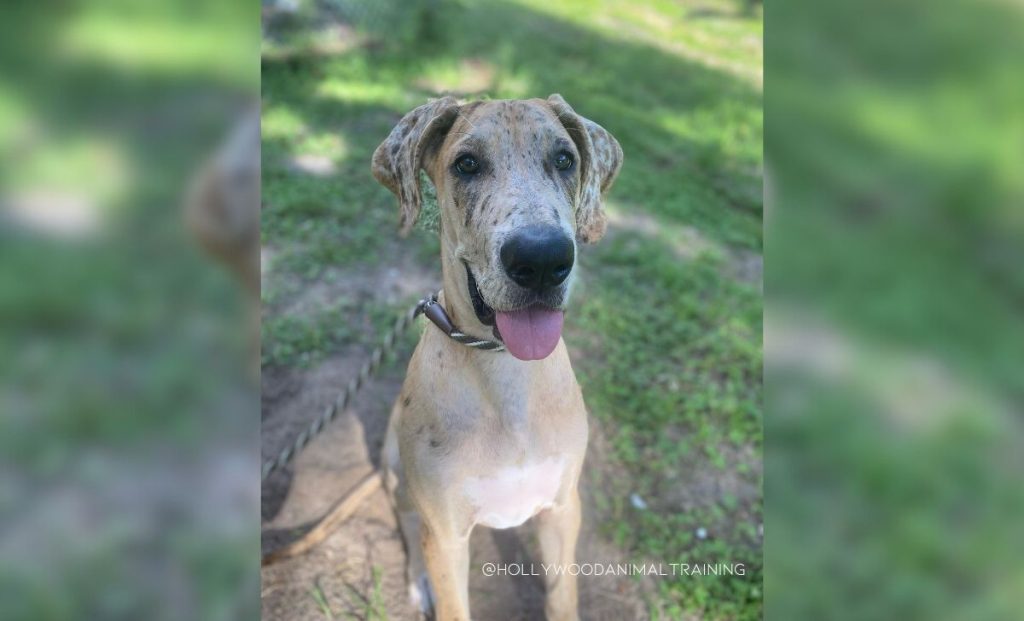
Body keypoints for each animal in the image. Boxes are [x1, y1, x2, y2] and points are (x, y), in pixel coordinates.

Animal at [372, 93, 618, 621]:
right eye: (466, 164)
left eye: (564, 159)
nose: (542, 260)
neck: (505, 370)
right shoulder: (446, 535)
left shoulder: (563, 508)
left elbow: (563, 594)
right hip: (396, 473)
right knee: (406, 523)